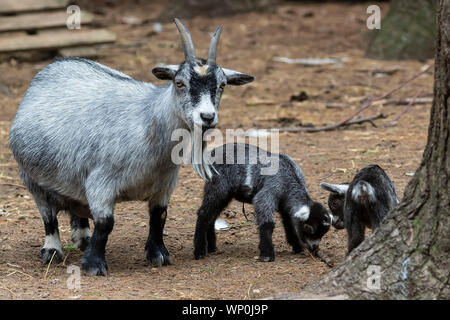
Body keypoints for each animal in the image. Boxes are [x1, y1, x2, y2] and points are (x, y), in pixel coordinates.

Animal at [8, 18, 253, 276]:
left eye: (222, 85)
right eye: (179, 83)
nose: (207, 117)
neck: (148, 121)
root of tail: (54, 66)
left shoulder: (165, 184)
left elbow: (159, 217)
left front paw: (158, 255)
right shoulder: (101, 182)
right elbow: (105, 224)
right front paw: (95, 265)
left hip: (71, 179)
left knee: (76, 207)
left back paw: (84, 238)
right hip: (31, 179)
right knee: (48, 217)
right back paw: (52, 250)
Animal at [192, 144, 332, 262]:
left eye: (323, 232)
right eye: (309, 228)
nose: (314, 248)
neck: (288, 179)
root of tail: (211, 153)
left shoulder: (284, 205)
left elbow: (289, 224)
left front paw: (297, 247)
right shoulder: (269, 191)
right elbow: (267, 222)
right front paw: (267, 255)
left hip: (224, 194)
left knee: (212, 215)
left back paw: (211, 247)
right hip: (217, 186)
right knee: (203, 213)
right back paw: (199, 252)